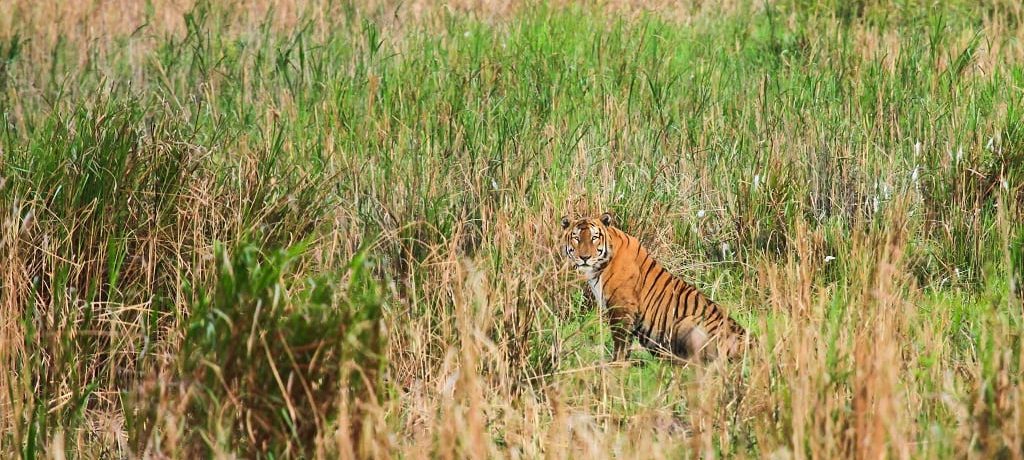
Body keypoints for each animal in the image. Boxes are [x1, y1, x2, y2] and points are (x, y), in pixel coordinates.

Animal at [561, 212, 745, 362]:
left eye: (594, 238)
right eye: (576, 238)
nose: (584, 257)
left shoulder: (621, 308)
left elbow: (620, 342)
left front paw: (616, 364)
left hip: (685, 322)